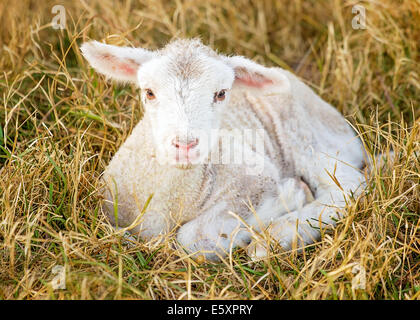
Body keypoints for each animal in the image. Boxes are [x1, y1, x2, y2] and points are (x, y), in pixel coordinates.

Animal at [80, 38, 366, 262]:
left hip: (305, 135)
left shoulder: (257, 174)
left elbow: (190, 239)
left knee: (348, 187)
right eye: (149, 92)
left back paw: (275, 238)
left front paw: (290, 196)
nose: (185, 145)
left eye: (221, 94)